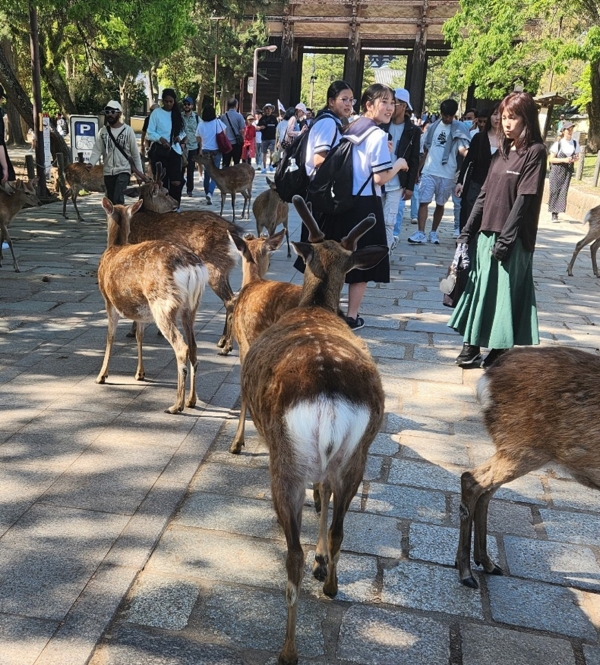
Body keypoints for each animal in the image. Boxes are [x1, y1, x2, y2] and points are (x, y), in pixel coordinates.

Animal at [94, 195, 206, 412]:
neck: (114, 248)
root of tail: (193, 267)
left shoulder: (108, 300)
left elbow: (110, 336)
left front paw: (101, 376)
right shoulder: (140, 311)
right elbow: (139, 336)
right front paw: (140, 374)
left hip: (163, 303)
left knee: (182, 347)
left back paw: (176, 405)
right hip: (191, 306)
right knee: (194, 347)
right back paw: (191, 400)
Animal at [240, 196, 386, 664]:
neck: (316, 305)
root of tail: (328, 393)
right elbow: (324, 502)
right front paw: (326, 565)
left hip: (284, 461)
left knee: (293, 555)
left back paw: (288, 649)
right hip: (358, 455)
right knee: (339, 527)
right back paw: (332, 583)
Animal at [458, 344, 600, 588]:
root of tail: (487, 378)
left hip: (513, 447)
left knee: (485, 490)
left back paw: (487, 562)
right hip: (523, 447)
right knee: (472, 479)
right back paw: (466, 572)